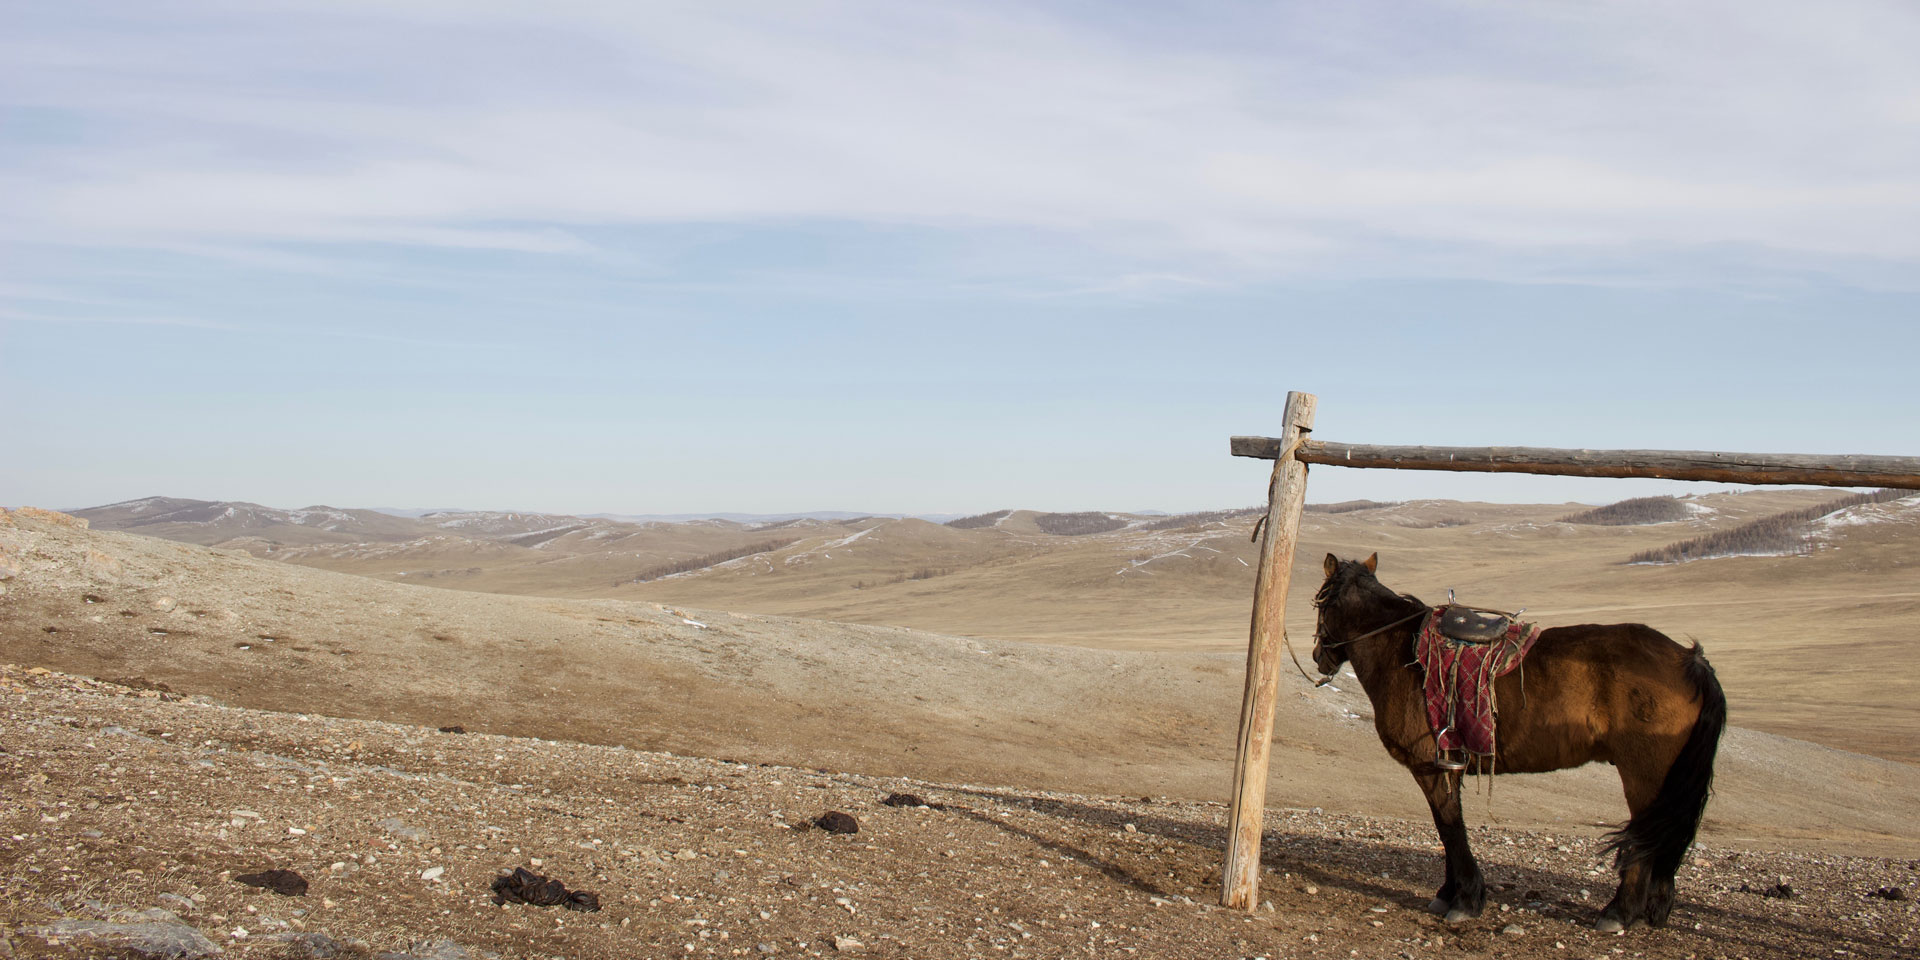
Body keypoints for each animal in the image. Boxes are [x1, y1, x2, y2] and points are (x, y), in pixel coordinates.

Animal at [1305, 552, 1728, 933]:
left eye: (1320, 602)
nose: (1318, 656)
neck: (1401, 654)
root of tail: (1689, 660)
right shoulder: (1448, 766)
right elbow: (1447, 826)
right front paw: (1448, 893)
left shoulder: (1431, 767)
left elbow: (1449, 827)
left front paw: (1465, 900)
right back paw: (1652, 909)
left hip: (1645, 774)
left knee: (1643, 842)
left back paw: (1619, 913)